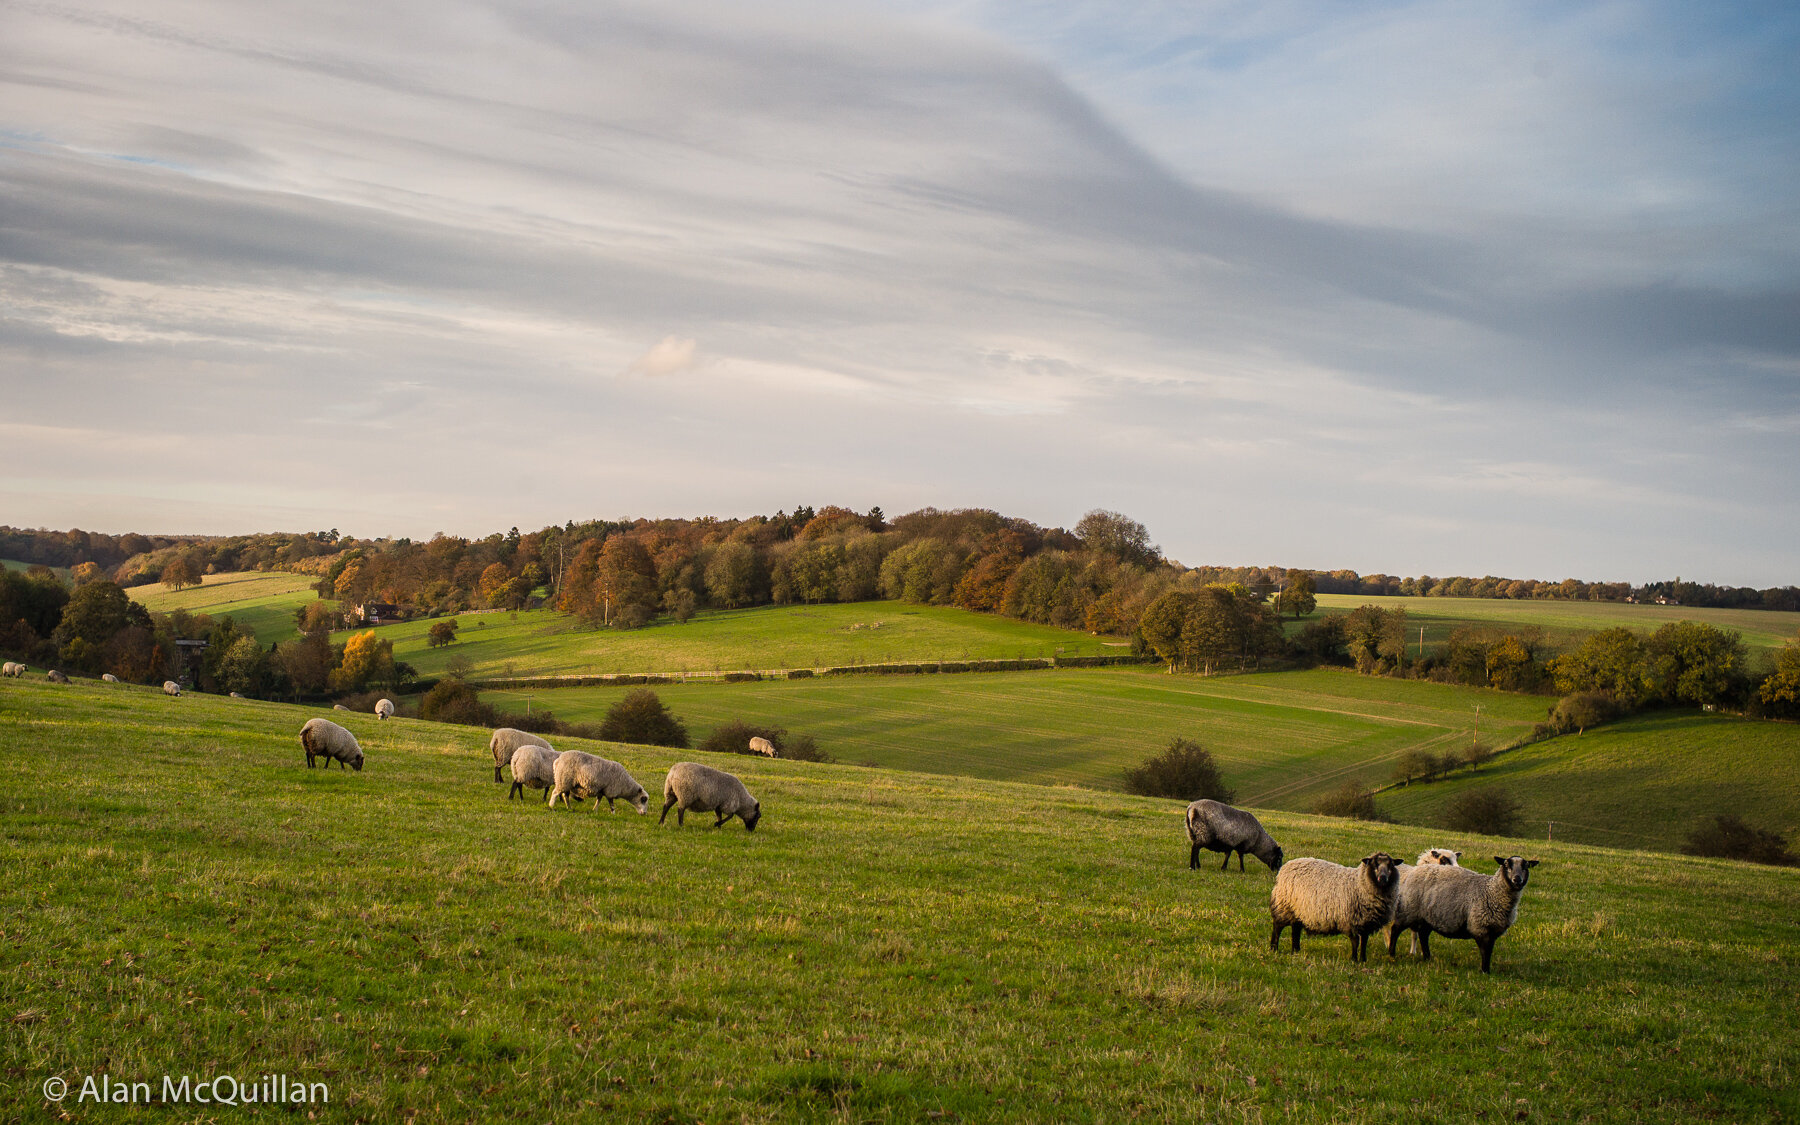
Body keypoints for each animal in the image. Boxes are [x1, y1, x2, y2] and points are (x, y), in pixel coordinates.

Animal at [1267, 856, 1404, 957]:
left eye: (1390, 865)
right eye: (1375, 864)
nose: (1383, 878)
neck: (1359, 884)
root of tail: (1285, 867)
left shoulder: (1366, 922)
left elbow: (1364, 942)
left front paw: (1363, 959)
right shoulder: (1350, 920)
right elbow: (1355, 941)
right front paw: (1354, 960)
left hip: (1298, 911)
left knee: (1295, 930)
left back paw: (1296, 951)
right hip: (1284, 906)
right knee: (1277, 927)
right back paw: (1274, 949)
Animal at [1382, 856, 1540, 972]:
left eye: (1526, 866)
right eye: (1506, 865)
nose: (1517, 879)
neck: (1492, 891)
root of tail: (1414, 871)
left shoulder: (1493, 930)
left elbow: (1489, 951)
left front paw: (1487, 969)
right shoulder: (1479, 926)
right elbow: (1485, 951)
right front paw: (1485, 971)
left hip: (1427, 916)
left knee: (1423, 935)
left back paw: (1427, 957)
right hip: (1409, 909)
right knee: (1396, 929)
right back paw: (1391, 953)